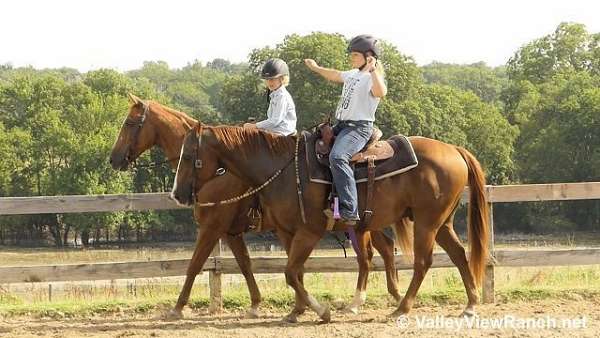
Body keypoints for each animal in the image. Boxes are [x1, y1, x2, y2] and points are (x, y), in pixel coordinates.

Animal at [109, 93, 406, 318]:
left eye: (130, 122)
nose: (113, 159)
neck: (219, 172)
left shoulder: (212, 227)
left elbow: (195, 264)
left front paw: (179, 307)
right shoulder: (231, 232)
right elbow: (245, 264)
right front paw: (257, 303)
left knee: (377, 252)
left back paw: (382, 298)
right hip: (363, 224)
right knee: (379, 251)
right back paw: (389, 295)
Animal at [171, 124, 490, 322]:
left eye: (188, 156)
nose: (177, 194)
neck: (281, 170)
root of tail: (454, 150)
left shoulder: (305, 231)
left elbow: (286, 272)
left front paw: (320, 311)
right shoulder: (283, 232)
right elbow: (289, 271)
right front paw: (296, 310)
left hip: (426, 223)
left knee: (421, 262)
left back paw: (401, 307)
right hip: (439, 223)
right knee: (457, 255)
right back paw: (470, 305)